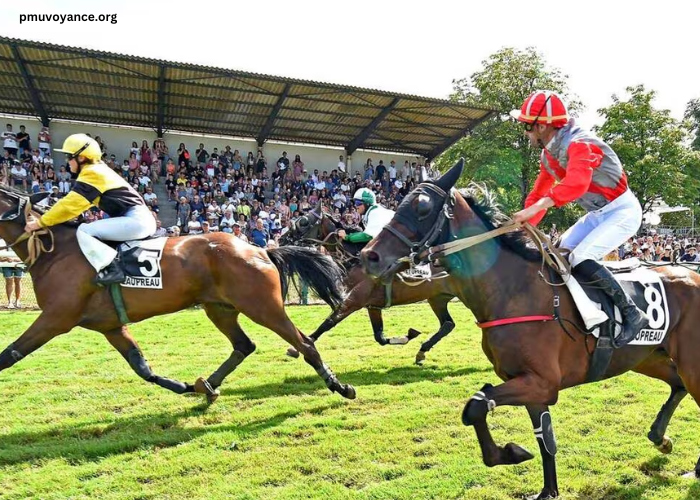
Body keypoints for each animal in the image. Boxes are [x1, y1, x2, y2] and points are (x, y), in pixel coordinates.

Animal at [0, 186, 358, 404]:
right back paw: (206, 386)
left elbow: (9, 355)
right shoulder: (110, 326)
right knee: (244, 345)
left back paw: (339, 386)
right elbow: (141, 367)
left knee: (304, 343)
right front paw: (184, 386)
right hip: (220, 308)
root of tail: (260, 249)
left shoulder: (56, 318)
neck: (55, 251)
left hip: (262, 307)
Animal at [278, 205, 460, 366]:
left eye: (304, 222)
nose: (281, 238)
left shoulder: (355, 300)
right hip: (437, 297)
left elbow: (329, 321)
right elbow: (380, 337)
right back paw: (422, 352)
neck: (357, 261)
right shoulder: (372, 305)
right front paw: (408, 335)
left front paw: (299, 347)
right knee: (448, 324)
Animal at [360, 161, 700, 500]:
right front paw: (544, 485)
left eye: (422, 207)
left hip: (688, 362)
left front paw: (511, 453)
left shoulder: (543, 383)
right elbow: (540, 437)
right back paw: (660, 438)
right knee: (676, 383)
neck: (513, 290)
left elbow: (476, 404)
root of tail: (690, 272)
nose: (368, 256)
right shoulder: (529, 384)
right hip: (646, 357)